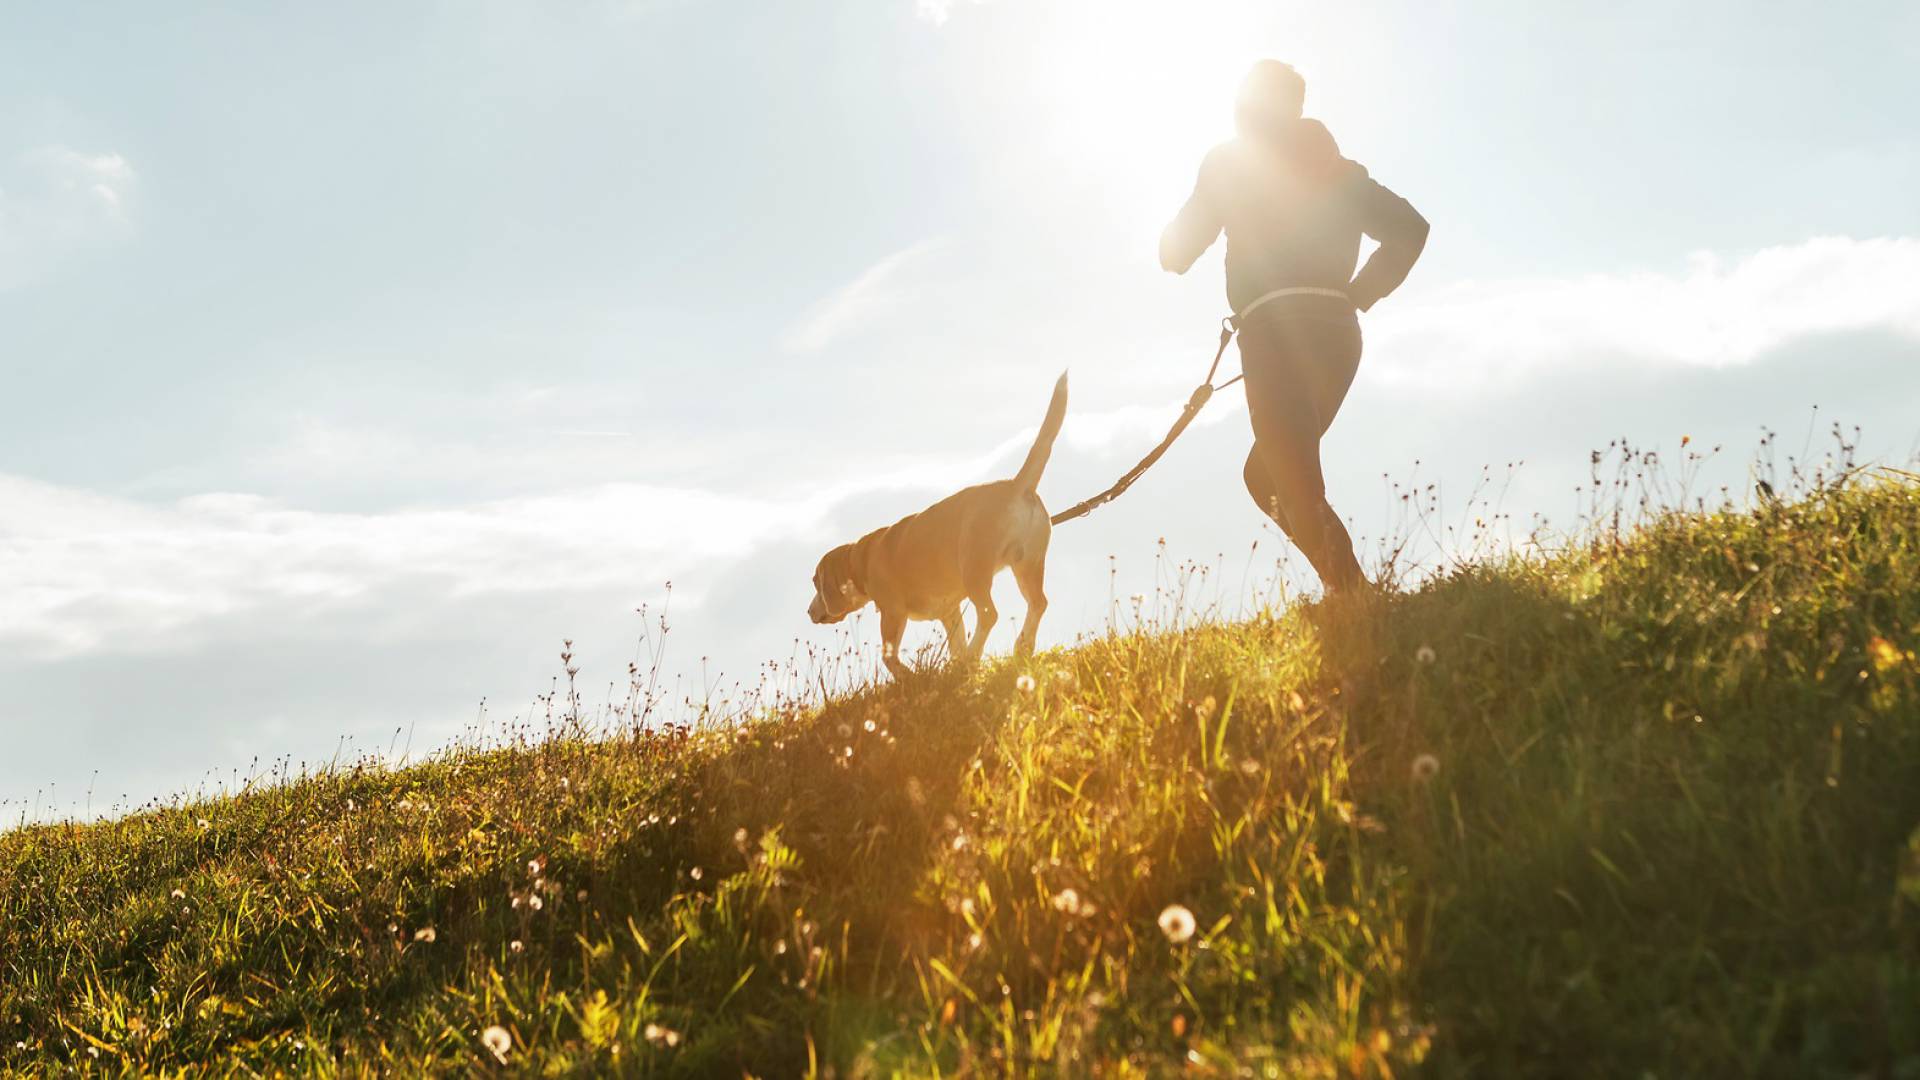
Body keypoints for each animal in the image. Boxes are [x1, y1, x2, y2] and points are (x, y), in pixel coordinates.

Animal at [810, 374, 1075, 676]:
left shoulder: (892, 612)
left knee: (989, 614)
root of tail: (1017, 485)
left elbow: (889, 657)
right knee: (1037, 604)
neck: (861, 559)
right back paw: (1021, 647)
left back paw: (975, 655)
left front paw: (908, 677)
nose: (809, 612)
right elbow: (955, 643)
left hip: (974, 568)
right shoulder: (950, 613)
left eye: (815, 583)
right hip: (1028, 565)